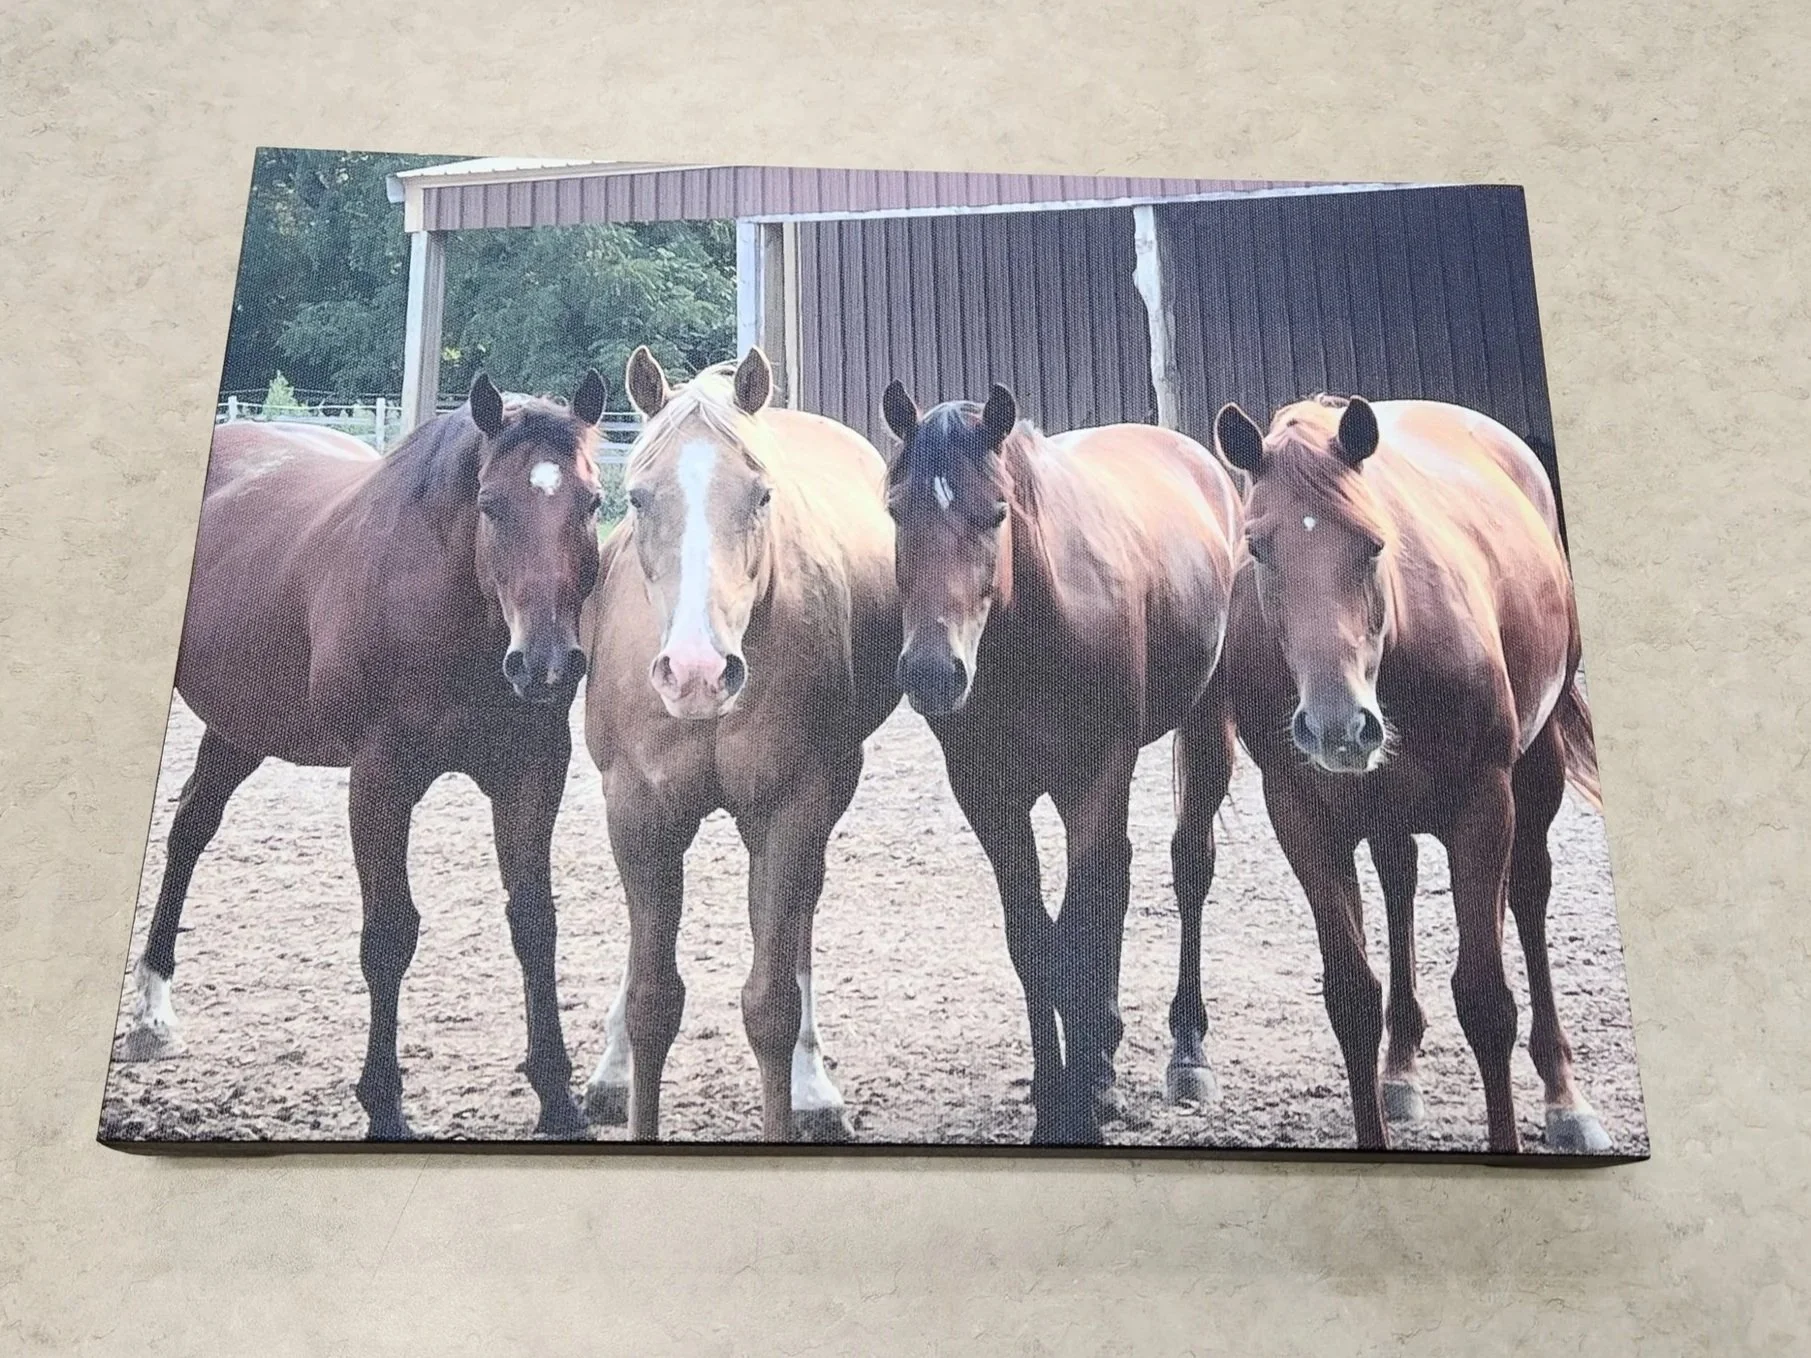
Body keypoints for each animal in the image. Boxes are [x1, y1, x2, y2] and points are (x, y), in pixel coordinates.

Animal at [118, 372, 610, 1140]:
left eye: (592, 503)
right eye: (490, 505)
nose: (546, 665)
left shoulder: (531, 775)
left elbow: (535, 921)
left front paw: (557, 1099)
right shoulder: (380, 782)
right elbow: (388, 934)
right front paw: (384, 1105)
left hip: (243, 726)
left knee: (191, 827)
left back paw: (154, 1012)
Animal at [580, 346, 900, 1142]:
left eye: (760, 497)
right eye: (638, 499)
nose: (697, 672)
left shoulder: (790, 812)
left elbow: (772, 1004)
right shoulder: (638, 813)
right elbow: (652, 998)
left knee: (803, 923)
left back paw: (815, 1089)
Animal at [880, 380, 1244, 1143]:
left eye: (995, 513)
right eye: (896, 511)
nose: (932, 673)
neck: (1035, 627)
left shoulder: (1094, 779)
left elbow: (1077, 933)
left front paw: (1079, 1108)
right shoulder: (988, 798)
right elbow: (1035, 941)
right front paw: (1058, 1095)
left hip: (1204, 724)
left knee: (1187, 867)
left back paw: (1186, 1052)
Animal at [1214, 393, 1611, 1154]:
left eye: (1373, 544)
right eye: (1258, 548)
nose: (1338, 727)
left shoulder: (1484, 803)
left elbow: (1486, 1001)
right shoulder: (1300, 817)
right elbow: (1350, 998)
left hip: (1535, 767)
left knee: (1528, 894)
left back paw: (1564, 1097)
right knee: (1399, 884)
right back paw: (1400, 1069)